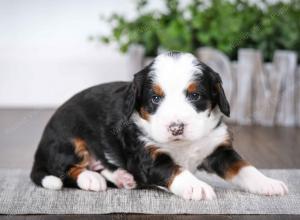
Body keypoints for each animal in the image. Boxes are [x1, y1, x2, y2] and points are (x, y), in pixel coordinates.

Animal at [31, 51, 288, 199]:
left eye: (195, 96)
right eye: (155, 98)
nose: (176, 127)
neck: (182, 144)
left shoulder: (218, 149)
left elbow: (244, 167)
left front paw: (268, 183)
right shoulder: (148, 156)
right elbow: (175, 170)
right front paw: (196, 186)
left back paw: (122, 177)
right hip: (68, 139)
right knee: (64, 169)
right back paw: (90, 179)